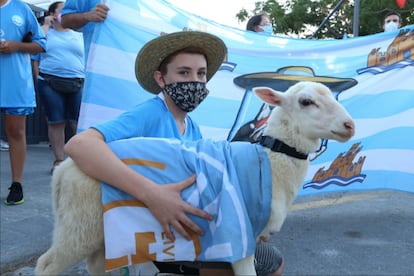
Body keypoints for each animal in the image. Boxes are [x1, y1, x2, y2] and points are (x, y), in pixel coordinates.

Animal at [34, 81, 354, 274]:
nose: (350, 125)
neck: (270, 160)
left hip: (97, 232)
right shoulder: (241, 236)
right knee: (46, 265)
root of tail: (64, 168)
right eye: (306, 102)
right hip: (79, 226)